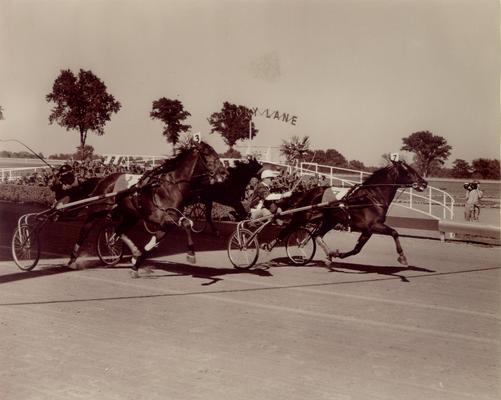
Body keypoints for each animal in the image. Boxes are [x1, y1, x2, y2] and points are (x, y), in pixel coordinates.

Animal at [58, 141, 229, 276]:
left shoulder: (166, 224)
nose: (224, 172)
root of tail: (103, 179)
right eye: (207, 153)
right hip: (98, 210)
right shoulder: (164, 218)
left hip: (130, 214)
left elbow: (151, 247)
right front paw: (191, 254)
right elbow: (186, 224)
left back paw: (132, 251)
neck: (171, 186)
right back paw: (72, 259)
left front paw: (136, 266)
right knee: (85, 231)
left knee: (119, 231)